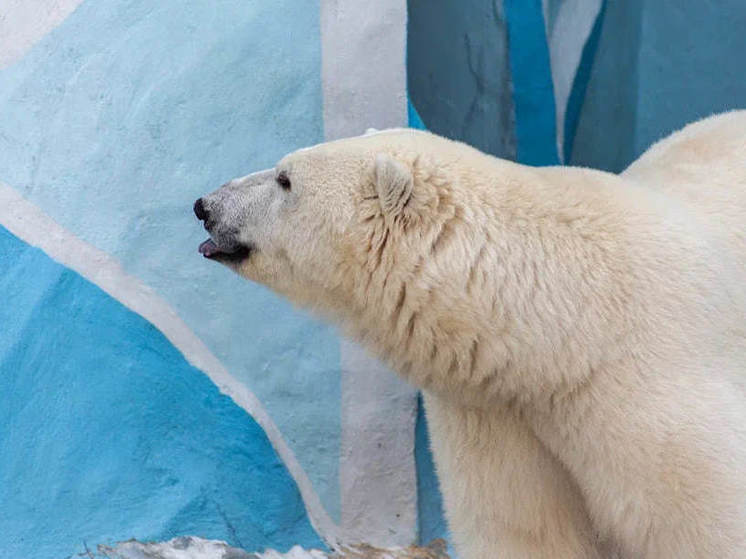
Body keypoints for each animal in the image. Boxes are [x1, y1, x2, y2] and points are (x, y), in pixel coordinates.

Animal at [195, 111, 744, 556]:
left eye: (285, 179)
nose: (205, 204)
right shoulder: (494, 406)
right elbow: (520, 527)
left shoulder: (648, 384)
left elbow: (702, 515)